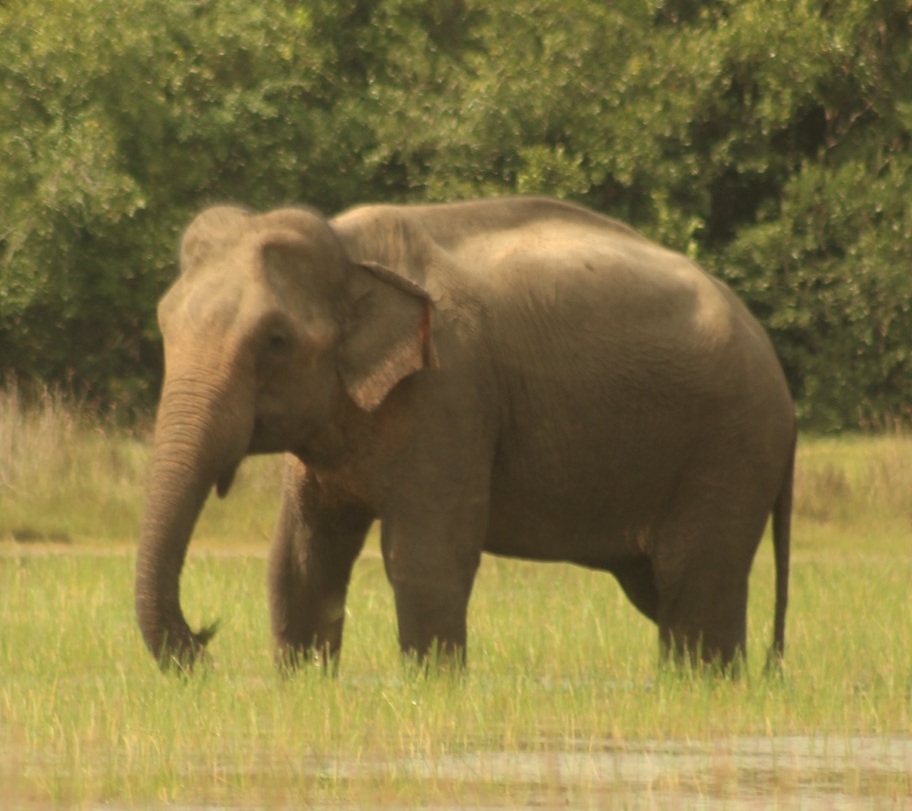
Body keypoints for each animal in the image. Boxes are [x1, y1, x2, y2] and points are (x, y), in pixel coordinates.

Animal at [135, 196, 795, 674]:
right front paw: (302, 684)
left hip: (730, 446)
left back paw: (704, 685)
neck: (350, 253)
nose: (205, 641)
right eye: (164, 322)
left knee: (694, 584)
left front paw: (431, 688)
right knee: (660, 588)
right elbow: (300, 557)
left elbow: (424, 557)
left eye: (275, 340)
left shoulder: (450, 393)